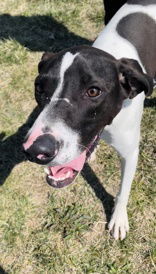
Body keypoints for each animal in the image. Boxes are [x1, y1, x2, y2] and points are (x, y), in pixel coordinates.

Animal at [22, 0, 155, 240]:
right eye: (39, 88)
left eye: (93, 92)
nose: (36, 150)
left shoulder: (130, 152)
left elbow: (123, 190)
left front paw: (118, 219)